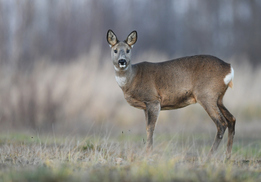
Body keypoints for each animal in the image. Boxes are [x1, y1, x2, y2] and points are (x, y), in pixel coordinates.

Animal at [106, 29, 235, 159]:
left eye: (128, 50)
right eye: (115, 50)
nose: (122, 61)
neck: (132, 79)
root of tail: (229, 68)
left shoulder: (153, 100)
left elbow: (151, 127)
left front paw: (148, 153)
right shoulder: (145, 106)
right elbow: (147, 127)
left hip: (206, 95)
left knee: (221, 123)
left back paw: (209, 156)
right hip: (218, 98)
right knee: (231, 119)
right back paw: (228, 156)